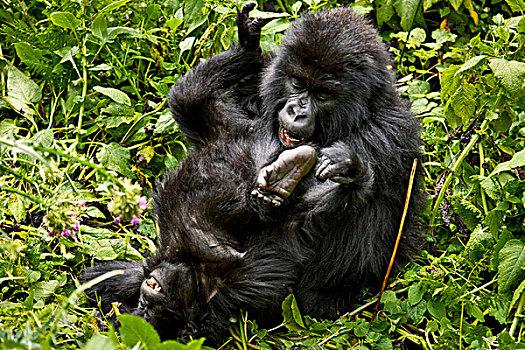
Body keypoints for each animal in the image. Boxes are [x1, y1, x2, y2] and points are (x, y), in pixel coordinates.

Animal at [83, 5, 426, 344]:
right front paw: (246, 48)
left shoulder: (388, 134)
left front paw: (347, 171)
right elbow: (191, 106)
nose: (296, 111)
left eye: (322, 95)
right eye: (297, 84)